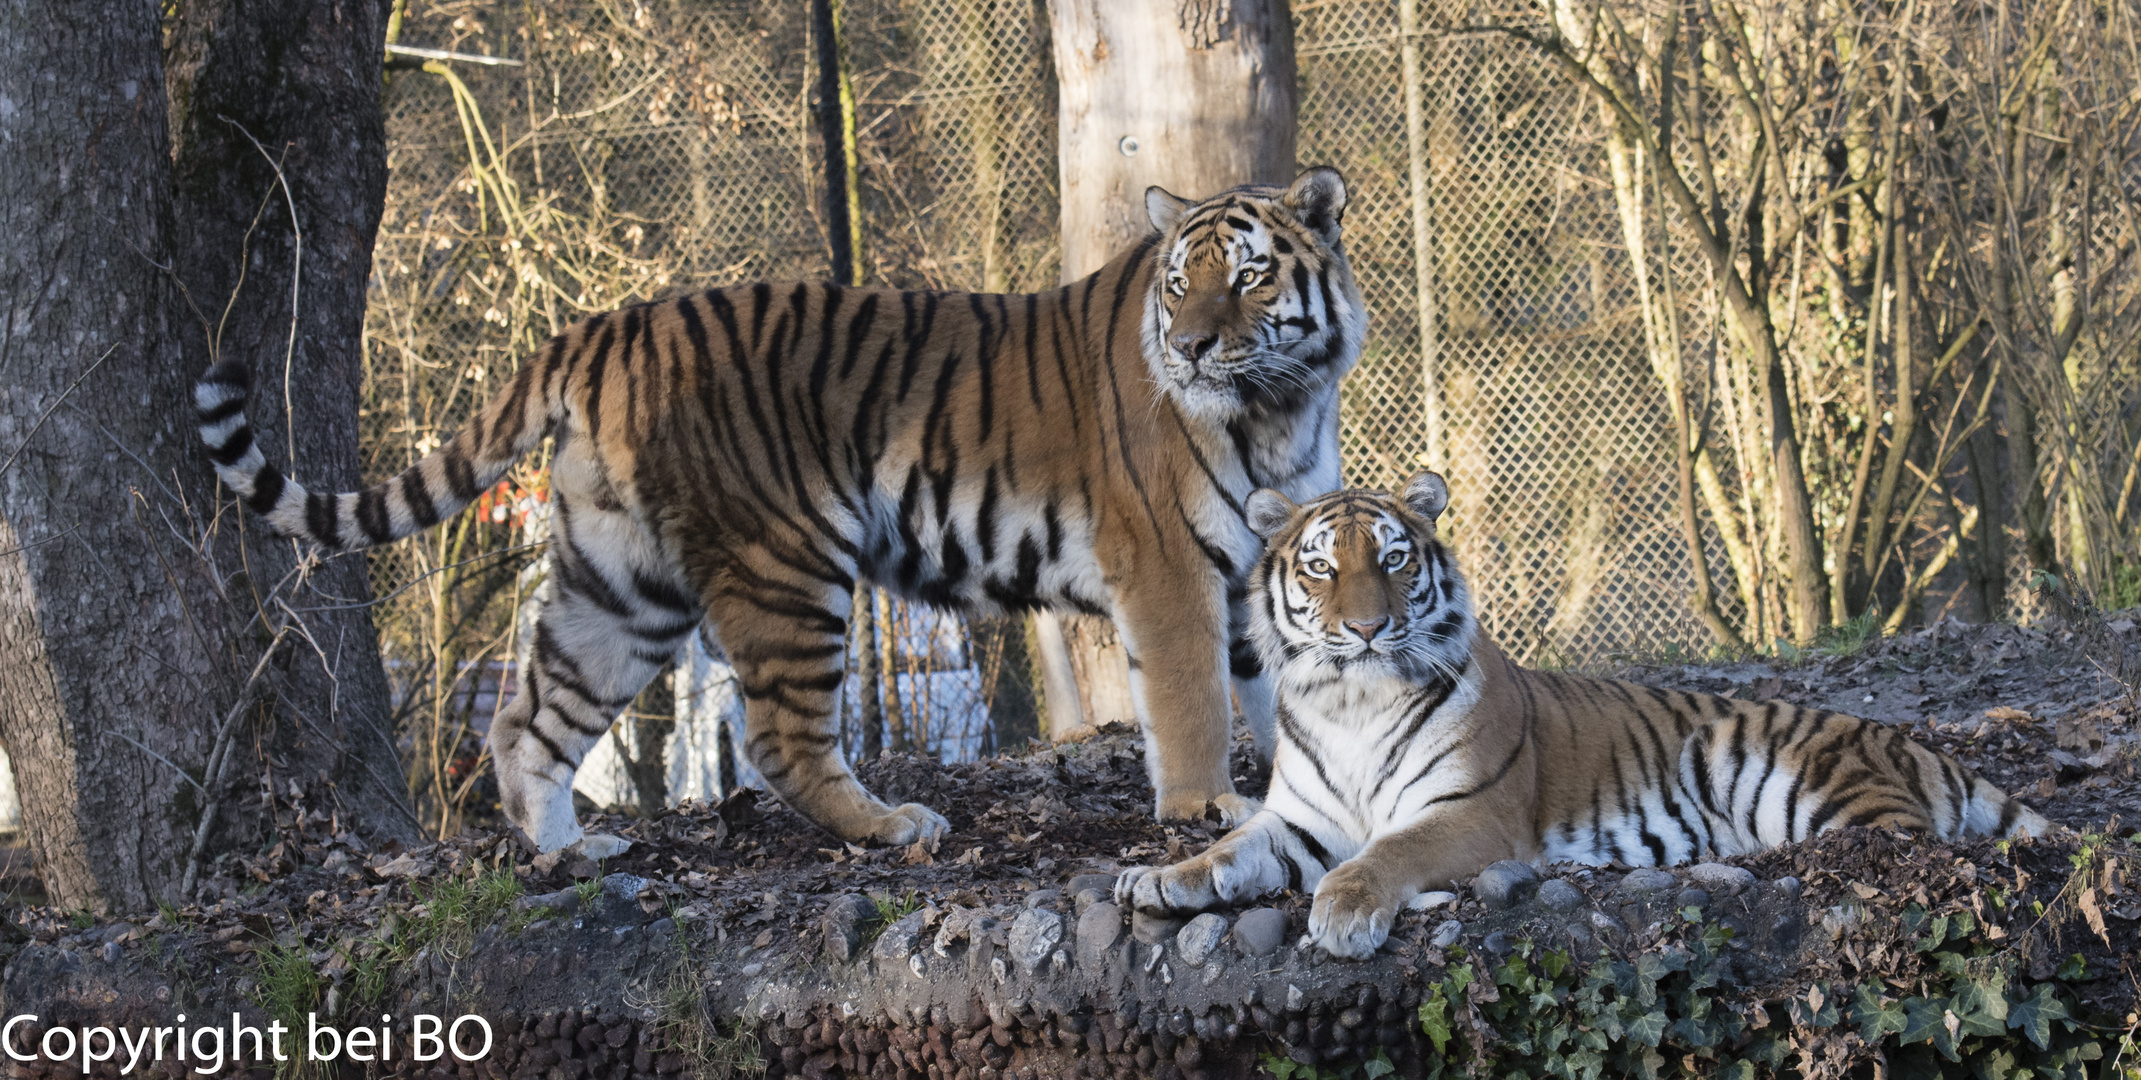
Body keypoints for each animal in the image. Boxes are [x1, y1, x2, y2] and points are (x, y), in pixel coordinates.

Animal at [204, 167, 1370, 852]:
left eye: (1248, 280)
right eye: (1179, 283)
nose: (1191, 346)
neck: (1283, 400)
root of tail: (602, 325)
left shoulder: (1243, 567)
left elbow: (1267, 692)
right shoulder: (1166, 568)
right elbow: (1191, 700)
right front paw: (1204, 807)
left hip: (620, 584)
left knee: (528, 717)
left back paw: (568, 854)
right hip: (789, 565)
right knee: (776, 739)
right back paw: (891, 825)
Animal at [1113, 471, 2046, 951]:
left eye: (1392, 559)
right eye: (1319, 567)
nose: (1367, 628)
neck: (1352, 701)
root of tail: (1909, 741)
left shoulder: (1467, 813)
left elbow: (1386, 853)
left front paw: (1343, 913)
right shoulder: (1301, 821)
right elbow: (1229, 848)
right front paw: (1159, 879)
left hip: (1788, 774)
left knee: (1901, 844)